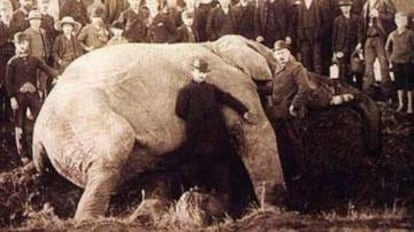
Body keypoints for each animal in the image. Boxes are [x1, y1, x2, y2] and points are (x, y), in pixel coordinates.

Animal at [32, 35, 286, 220]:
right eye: (272, 57)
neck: (215, 45)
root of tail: (37, 136)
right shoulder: (232, 81)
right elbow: (252, 128)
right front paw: (273, 211)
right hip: (81, 120)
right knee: (115, 149)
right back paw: (89, 222)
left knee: (153, 173)